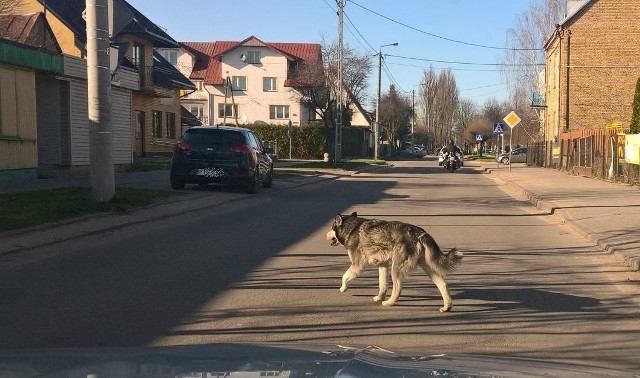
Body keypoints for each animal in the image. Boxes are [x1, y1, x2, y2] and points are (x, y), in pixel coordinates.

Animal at [328, 211, 462, 312]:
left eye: (331, 228)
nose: (325, 235)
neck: (351, 228)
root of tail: (420, 233)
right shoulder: (383, 266)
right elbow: (382, 285)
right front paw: (379, 297)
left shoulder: (358, 265)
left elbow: (344, 277)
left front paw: (343, 288)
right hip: (427, 268)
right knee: (443, 285)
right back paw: (447, 307)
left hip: (396, 269)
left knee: (398, 289)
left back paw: (389, 303)